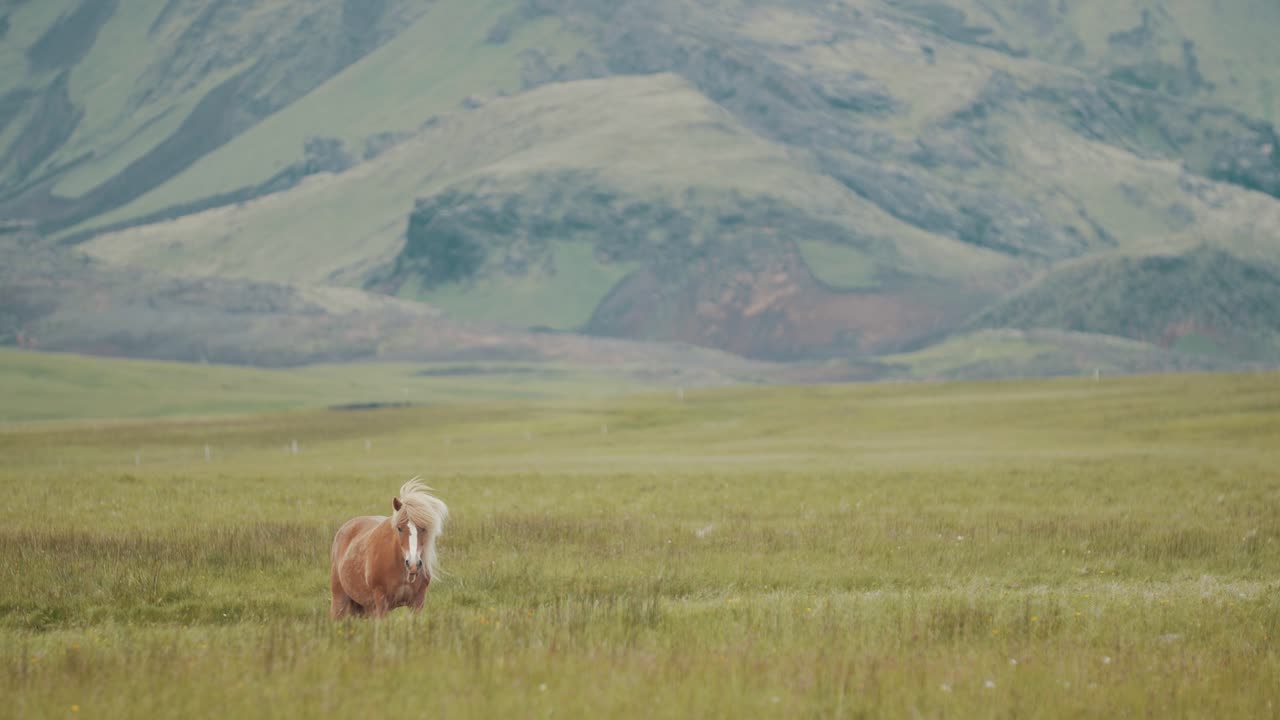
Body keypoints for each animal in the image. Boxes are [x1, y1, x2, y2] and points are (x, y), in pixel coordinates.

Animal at [330, 478, 448, 619]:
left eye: (423, 528)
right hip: (339, 601)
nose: (413, 564)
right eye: (399, 528)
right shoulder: (381, 603)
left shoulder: (417, 603)